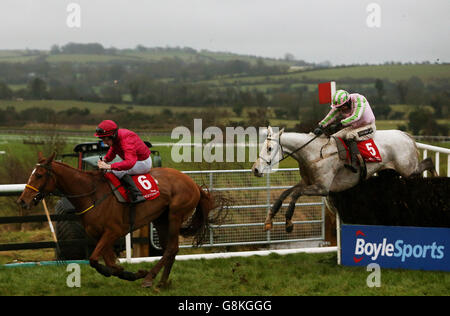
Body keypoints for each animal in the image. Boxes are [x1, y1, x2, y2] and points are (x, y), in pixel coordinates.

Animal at [17, 152, 220, 288]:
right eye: (32, 173)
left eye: (39, 175)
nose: (22, 201)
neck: (91, 194)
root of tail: (193, 184)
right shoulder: (99, 235)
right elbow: (106, 263)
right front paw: (130, 273)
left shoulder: (112, 232)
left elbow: (94, 259)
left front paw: (136, 273)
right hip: (162, 219)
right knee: (171, 249)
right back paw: (161, 282)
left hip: (175, 215)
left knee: (171, 249)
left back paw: (150, 278)